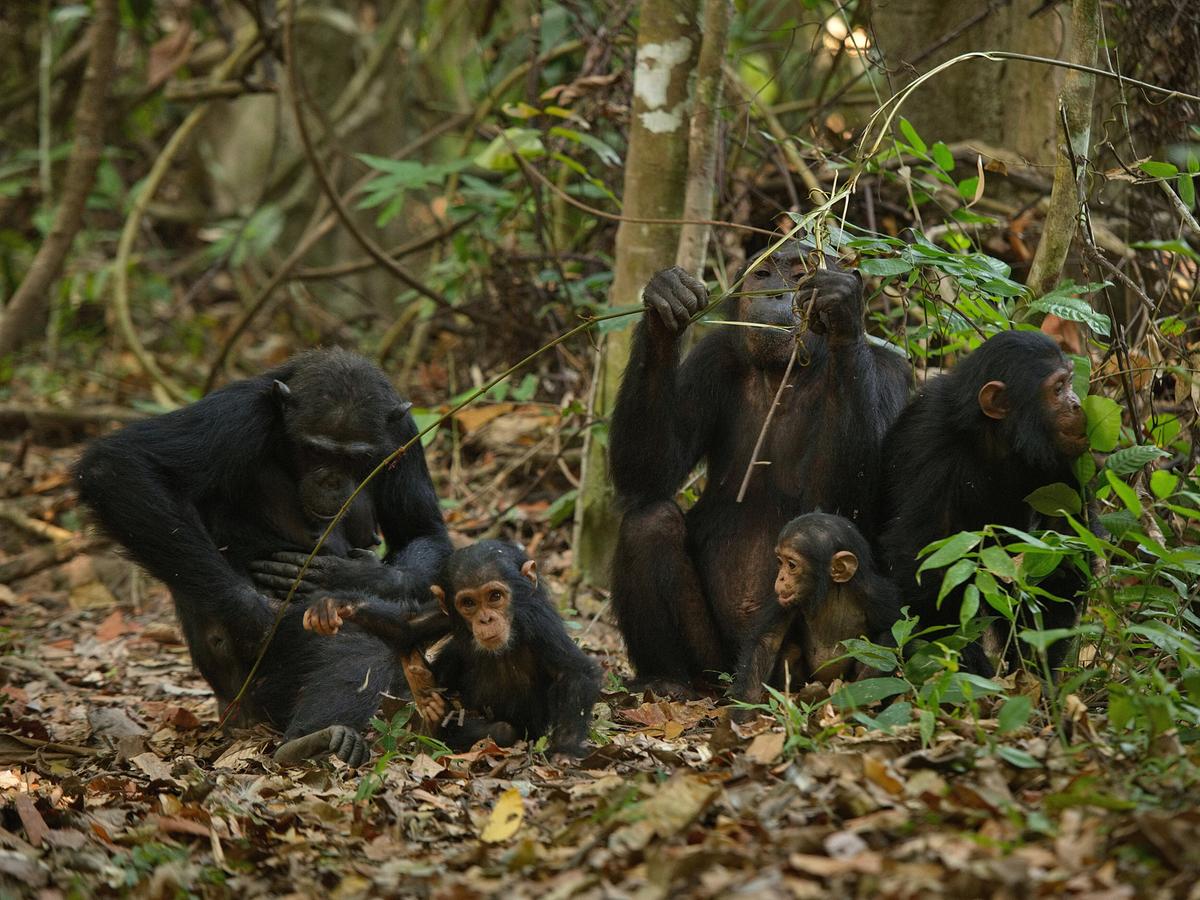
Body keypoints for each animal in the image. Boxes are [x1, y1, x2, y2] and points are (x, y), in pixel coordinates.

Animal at [75, 348, 451, 763]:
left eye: (356, 457)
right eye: (315, 450)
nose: (330, 480)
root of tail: (230, 709)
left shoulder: (405, 436)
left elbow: (421, 530)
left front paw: (353, 575)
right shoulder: (236, 414)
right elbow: (120, 466)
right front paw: (255, 615)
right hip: (257, 689)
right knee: (360, 646)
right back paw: (309, 740)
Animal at [312, 542, 600, 763]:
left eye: (495, 596)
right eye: (469, 603)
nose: (485, 619)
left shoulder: (538, 621)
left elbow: (573, 671)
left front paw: (564, 751)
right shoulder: (445, 613)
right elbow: (407, 628)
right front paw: (338, 605)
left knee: (504, 731)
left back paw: (438, 717)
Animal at [609, 244, 907, 691]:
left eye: (799, 275)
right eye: (763, 274)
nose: (776, 293)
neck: (789, 370)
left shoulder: (889, 376)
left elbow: (844, 509)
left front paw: (840, 307)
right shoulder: (711, 358)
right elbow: (649, 473)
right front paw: (666, 300)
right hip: (710, 660)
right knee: (649, 522)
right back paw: (665, 679)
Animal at [729, 513, 902, 720]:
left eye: (791, 565)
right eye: (780, 562)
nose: (781, 577)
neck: (832, 591)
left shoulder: (877, 595)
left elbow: (891, 632)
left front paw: (863, 694)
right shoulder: (781, 602)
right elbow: (766, 642)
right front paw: (743, 714)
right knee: (792, 651)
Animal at [878, 331, 1094, 676]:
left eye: (1070, 382)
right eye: (1058, 388)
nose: (1075, 403)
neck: (994, 434)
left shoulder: (1063, 459)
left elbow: (1062, 548)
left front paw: (1036, 670)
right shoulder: (928, 439)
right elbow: (923, 554)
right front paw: (966, 663)